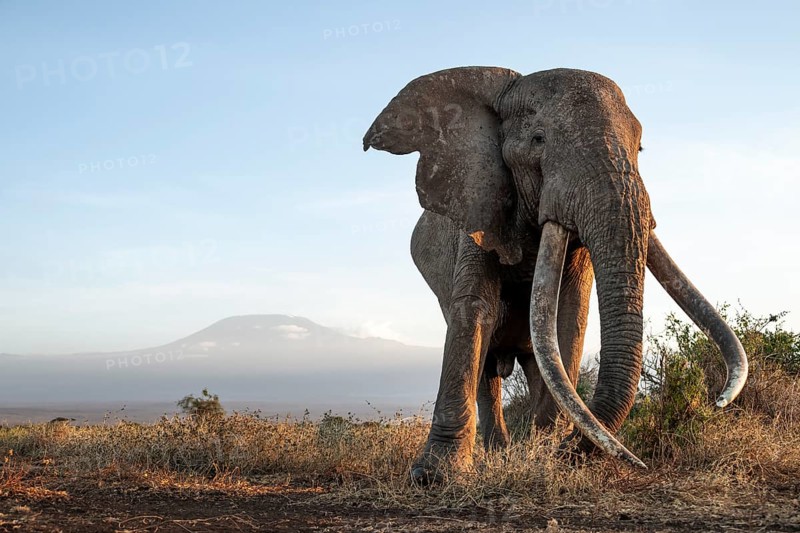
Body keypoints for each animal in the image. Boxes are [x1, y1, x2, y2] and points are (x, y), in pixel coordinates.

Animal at [362, 67, 748, 483]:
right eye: (538, 139)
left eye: (640, 148)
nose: (718, 402)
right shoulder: (477, 204)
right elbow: (475, 310)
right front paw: (434, 476)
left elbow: (569, 315)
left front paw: (545, 455)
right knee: (487, 365)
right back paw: (498, 453)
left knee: (538, 360)